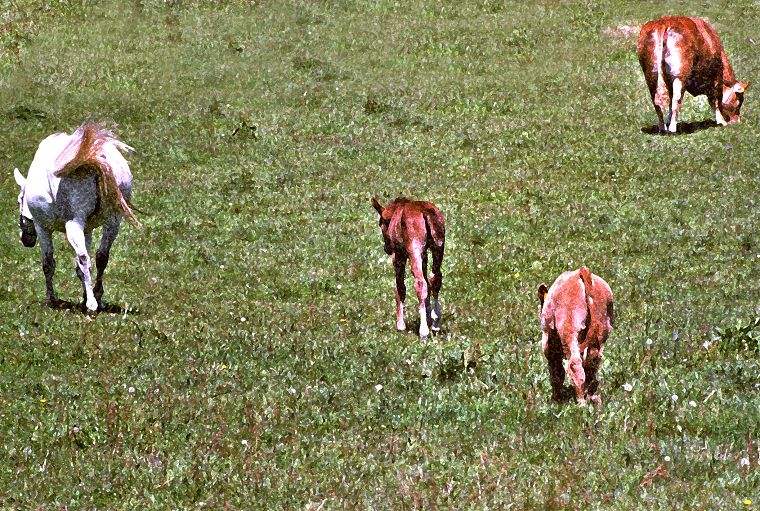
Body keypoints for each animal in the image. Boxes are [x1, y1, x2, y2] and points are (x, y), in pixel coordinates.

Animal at [12, 123, 139, 314]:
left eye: (20, 200)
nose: (25, 240)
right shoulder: (87, 230)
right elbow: (82, 267)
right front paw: (85, 295)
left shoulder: (43, 228)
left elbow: (48, 263)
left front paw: (51, 300)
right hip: (113, 220)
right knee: (101, 256)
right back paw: (97, 297)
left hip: (73, 223)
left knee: (84, 257)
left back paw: (92, 305)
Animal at [372, 197, 446, 340]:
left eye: (380, 223)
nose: (386, 248)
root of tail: (426, 213)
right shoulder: (424, 254)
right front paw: (429, 315)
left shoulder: (398, 254)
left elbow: (400, 287)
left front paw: (400, 325)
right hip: (439, 246)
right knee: (435, 278)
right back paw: (436, 323)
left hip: (414, 248)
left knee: (420, 283)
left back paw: (423, 332)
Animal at [536, 268, 616, 404]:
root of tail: (581, 272)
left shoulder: (548, 341)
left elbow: (556, 372)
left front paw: (556, 400)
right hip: (601, 331)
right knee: (592, 362)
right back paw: (591, 398)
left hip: (569, 331)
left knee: (575, 364)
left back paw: (581, 402)